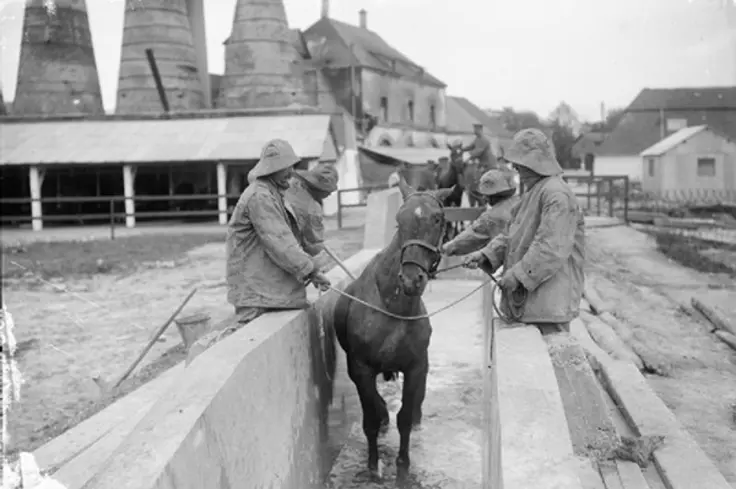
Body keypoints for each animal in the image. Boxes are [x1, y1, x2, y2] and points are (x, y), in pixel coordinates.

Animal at [332, 178, 455, 483]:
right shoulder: (360, 368)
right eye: (399, 220)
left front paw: (403, 464)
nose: (411, 279)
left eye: (437, 218)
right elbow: (371, 419)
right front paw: (374, 464)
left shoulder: (416, 366)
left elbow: (405, 416)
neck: (392, 307)